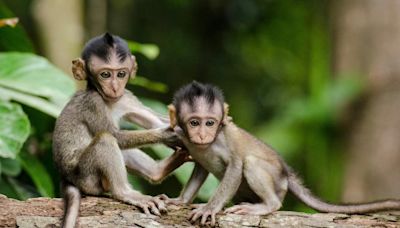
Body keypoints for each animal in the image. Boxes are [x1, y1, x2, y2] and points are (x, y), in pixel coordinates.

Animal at [52, 33, 188, 227]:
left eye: (121, 74)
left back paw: (158, 172)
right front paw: (167, 135)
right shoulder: (93, 103)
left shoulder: (126, 98)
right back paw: (125, 192)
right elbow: (117, 136)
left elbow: (153, 120)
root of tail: (66, 177)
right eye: (105, 74)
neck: (108, 100)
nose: (115, 87)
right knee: (106, 139)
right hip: (87, 177)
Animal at [167, 80, 400, 226]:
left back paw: (267, 205)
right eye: (194, 123)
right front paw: (181, 201)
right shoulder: (185, 138)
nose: (203, 135)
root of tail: (286, 174)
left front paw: (210, 208)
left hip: (277, 183)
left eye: (210, 123)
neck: (208, 143)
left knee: (251, 163)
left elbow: (236, 166)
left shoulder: (227, 137)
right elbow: (200, 168)